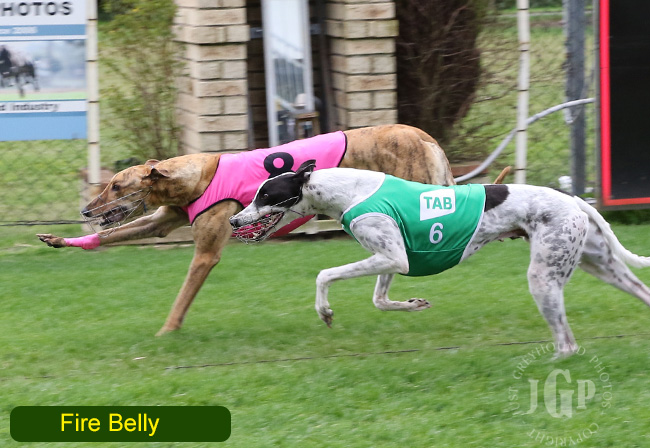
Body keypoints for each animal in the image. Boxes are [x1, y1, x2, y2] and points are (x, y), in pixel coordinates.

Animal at [37, 124, 457, 336]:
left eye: (116, 186)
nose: (85, 209)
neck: (196, 177)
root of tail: (423, 135)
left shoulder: (206, 253)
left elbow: (182, 299)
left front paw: (166, 334)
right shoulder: (161, 221)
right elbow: (109, 236)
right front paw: (59, 239)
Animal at [229, 161, 650, 358]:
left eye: (265, 196)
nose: (233, 221)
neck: (345, 190)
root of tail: (575, 199)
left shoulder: (391, 256)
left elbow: (324, 274)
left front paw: (326, 312)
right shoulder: (392, 259)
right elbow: (380, 300)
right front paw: (414, 304)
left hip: (544, 277)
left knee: (567, 342)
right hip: (600, 265)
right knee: (639, 290)